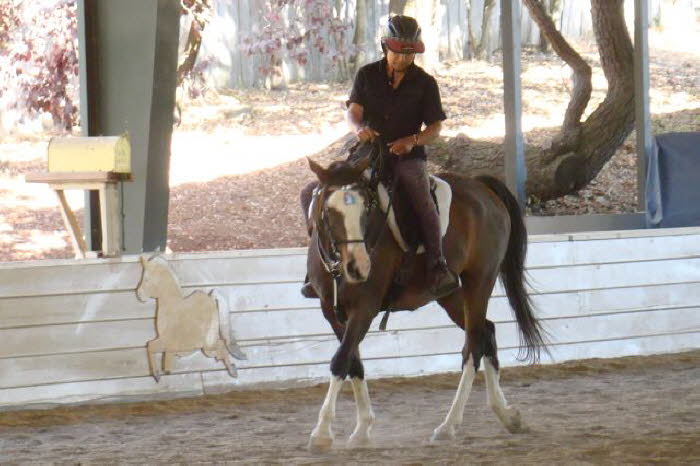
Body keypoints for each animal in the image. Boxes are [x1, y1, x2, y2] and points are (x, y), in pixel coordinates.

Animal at [300, 152, 548, 452]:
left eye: (366, 209)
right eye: (327, 211)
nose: (358, 268)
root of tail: (481, 187)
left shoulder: (365, 309)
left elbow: (340, 360)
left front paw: (322, 433)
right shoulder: (331, 311)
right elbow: (353, 362)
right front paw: (362, 430)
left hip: (480, 281)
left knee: (473, 346)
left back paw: (448, 426)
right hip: (451, 294)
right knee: (487, 332)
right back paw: (507, 415)